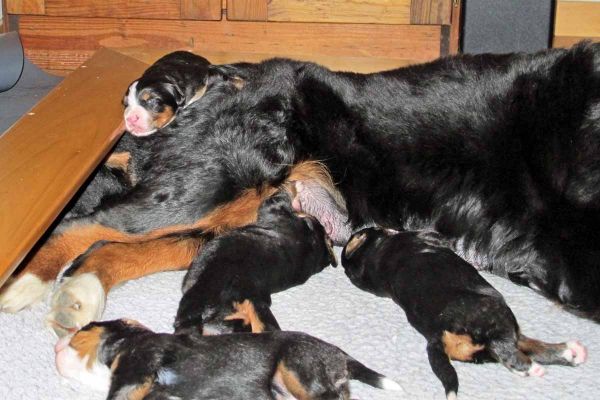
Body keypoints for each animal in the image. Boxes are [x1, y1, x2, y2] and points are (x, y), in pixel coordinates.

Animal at [342, 227, 584, 398]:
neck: (375, 254)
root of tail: (438, 335)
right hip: (496, 315)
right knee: (508, 348)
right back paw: (534, 368)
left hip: (485, 346)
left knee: (527, 346)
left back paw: (571, 352)